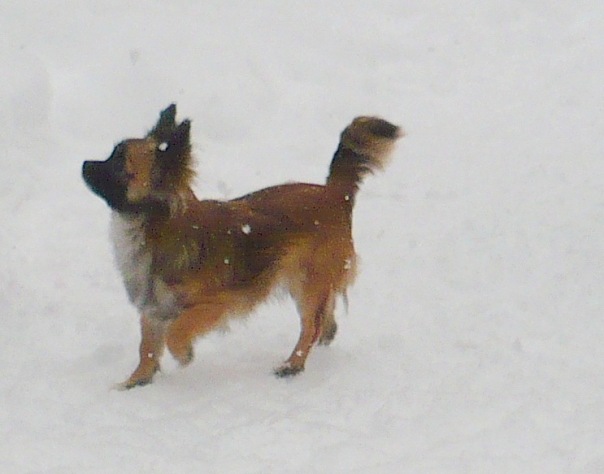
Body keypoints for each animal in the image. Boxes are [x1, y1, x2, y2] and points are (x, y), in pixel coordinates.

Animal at [82, 104, 402, 389]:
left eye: (119, 163)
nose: (84, 164)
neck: (153, 225)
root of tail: (335, 192)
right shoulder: (154, 307)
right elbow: (147, 348)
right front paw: (135, 381)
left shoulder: (216, 304)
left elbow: (176, 332)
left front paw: (184, 354)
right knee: (325, 313)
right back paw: (326, 334)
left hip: (307, 281)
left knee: (310, 326)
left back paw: (293, 364)